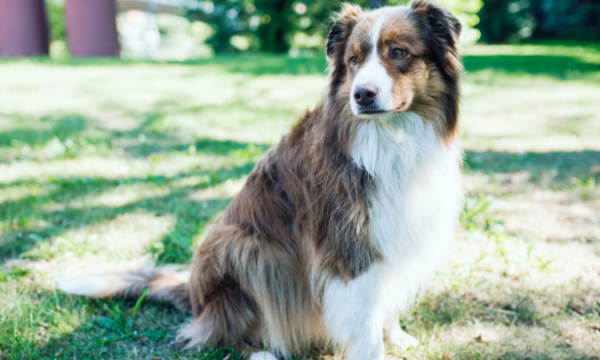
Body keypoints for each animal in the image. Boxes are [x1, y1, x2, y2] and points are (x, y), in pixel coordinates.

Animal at [58, 1, 464, 358]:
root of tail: (195, 297)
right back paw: (259, 352)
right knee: (213, 332)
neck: (392, 136)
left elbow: (385, 301)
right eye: (354, 60)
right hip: (245, 245)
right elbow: (364, 321)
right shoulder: (347, 245)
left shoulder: (393, 230)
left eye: (398, 52)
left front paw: (397, 337)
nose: (361, 95)